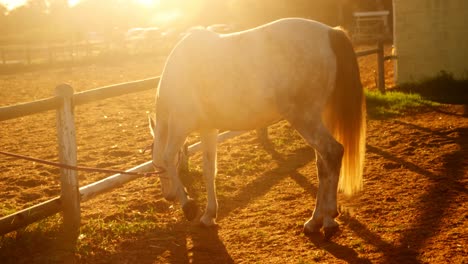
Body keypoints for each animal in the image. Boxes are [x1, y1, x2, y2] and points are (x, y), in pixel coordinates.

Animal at [149, 17, 366, 235]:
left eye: (156, 168)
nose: (168, 196)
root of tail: (332, 32)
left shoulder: (180, 124)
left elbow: (168, 157)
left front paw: (189, 207)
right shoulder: (208, 129)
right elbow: (209, 170)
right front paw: (209, 215)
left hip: (305, 119)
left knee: (332, 152)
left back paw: (328, 218)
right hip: (317, 118)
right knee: (323, 164)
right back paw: (315, 220)